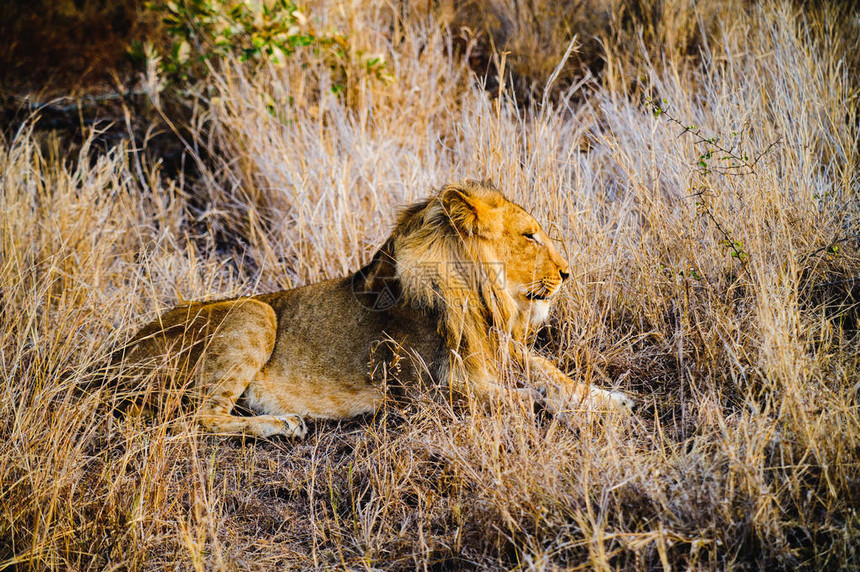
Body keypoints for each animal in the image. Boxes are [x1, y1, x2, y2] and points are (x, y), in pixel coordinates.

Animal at [116, 180, 632, 438]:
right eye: (529, 236)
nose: (567, 273)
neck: (477, 296)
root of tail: (115, 354)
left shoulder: (488, 347)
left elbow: (549, 373)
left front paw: (607, 399)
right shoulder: (427, 394)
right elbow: (532, 398)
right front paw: (579, 411)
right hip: (253, 312)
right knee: (195, 417)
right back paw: (283, 424)